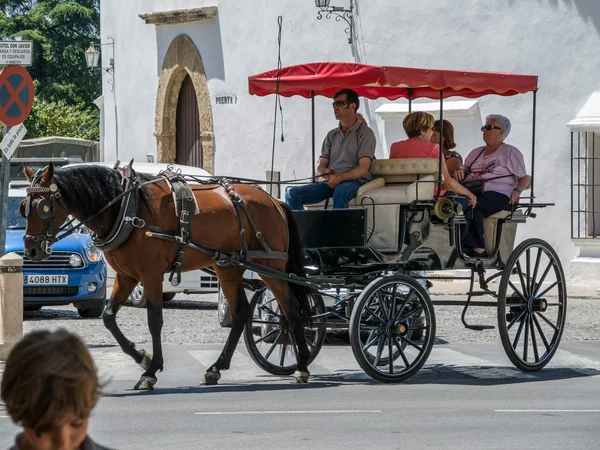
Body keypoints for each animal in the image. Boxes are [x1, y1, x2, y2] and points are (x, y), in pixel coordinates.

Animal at [22, 163, 314, 390]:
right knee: (241, 312)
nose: (32, 250)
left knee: (290, 308)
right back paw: (216, 368)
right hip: (228, 266)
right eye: (25, 207)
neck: (128, 209)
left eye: (44, 207)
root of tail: (275, 201)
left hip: (270, 264)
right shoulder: (126, 276)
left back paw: (301, 366)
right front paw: (141, 356)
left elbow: (154, 320)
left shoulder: (150, 275)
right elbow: (109, 317)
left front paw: (150, 370)